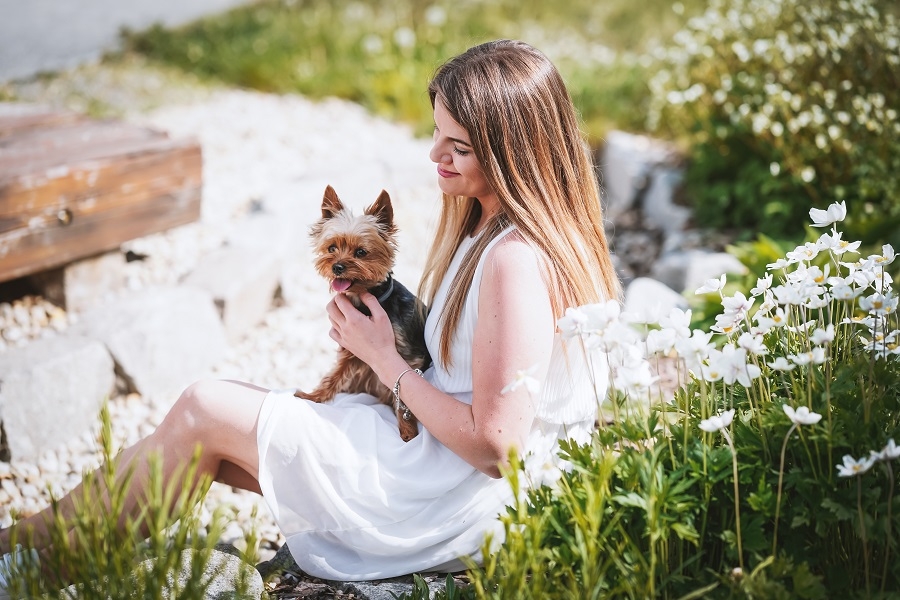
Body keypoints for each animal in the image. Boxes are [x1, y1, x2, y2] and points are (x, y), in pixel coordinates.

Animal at [294, 185, 430, 442]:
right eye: (331, 248)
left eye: (361, 252)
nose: (337, 267)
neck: (365, 300)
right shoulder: (350, 349)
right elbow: (335, 375)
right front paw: (314, 396)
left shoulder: (408, 356)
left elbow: (402, 396)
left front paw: (408, 433)